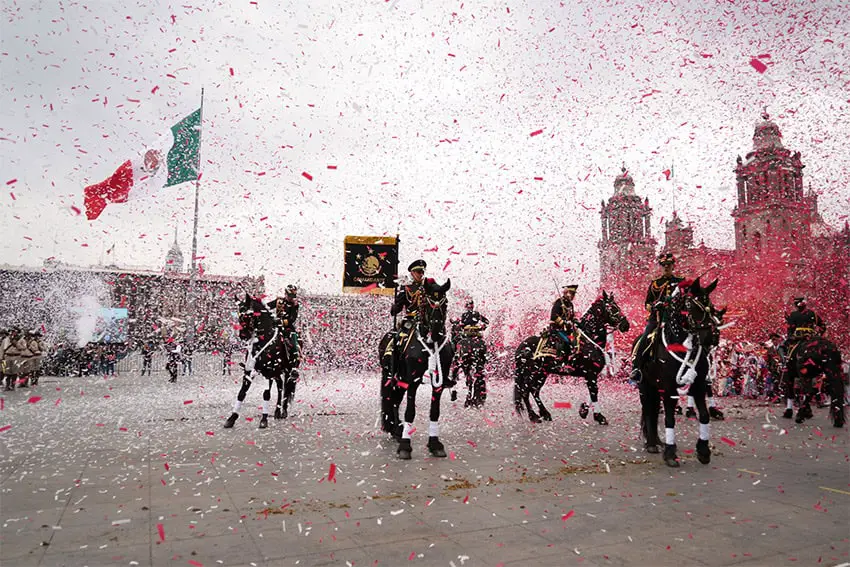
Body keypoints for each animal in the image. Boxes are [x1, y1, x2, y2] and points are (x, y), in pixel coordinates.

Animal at [222, 298, 298, 430]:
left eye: (249, 315)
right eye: (239, 314)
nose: (243, 335)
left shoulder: (269, 371)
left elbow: (266, 394)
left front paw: (263, 420)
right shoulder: (249, 371)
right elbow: (241, 393)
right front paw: (231, 418)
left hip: (287, 371)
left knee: (287, 388)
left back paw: (283, 411)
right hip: (277, 372)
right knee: (280, 386)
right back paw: (277, 412)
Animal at [378, 280, 454, 462]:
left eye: (445, 303)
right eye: (426, 303)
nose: (436, 331)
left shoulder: (439, 384)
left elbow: (435, 412)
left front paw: (435, 444)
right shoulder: (412, 381)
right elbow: (410, 412)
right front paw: (405, 447)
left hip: (400, 381)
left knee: (395, 400)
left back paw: (396, 429)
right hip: (392, 377)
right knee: (392, 400)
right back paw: (397, 431)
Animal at [510, 296, 628, 424]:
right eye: (612, 308)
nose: (626, 325)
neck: (590, 340)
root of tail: (521, 346)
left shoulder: (592, 374)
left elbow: (593, 392)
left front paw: (584, 410)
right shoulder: (590, 373)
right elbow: (594, 392)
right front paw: (599, 416)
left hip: (541, 373)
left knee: (534, 390)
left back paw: (544, 414)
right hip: (531, 373)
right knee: (525, 391)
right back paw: (534, 416)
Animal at [640, 278, 720, 468]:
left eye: (711, 306)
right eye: (690, 305)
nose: (710, 337)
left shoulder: (698, 385)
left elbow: (704, 415)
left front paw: (703, 450)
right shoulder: (669, 388)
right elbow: (670, 419)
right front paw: (670, 453)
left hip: (656, 388)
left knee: (654, 411)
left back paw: (657, 441)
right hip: (645, 386)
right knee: (648, 410)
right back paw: (652, 444)